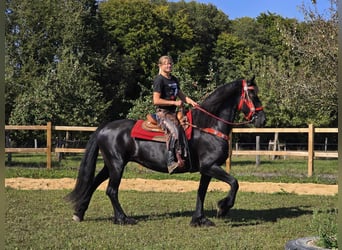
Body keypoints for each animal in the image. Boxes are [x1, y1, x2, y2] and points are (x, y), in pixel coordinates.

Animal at [65, 76, 266, 227]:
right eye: (253, 94)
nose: (262, 119)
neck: (208, 126)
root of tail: (104, 127)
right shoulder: (211, 166)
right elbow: (234, 183)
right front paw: (223, 208)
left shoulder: (207, 169)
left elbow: (201, 192)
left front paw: (199, 219)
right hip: (116, 164)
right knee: (111, 190)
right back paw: (123, 219)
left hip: (110, 164)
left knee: (94, 184)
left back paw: (79, 213)